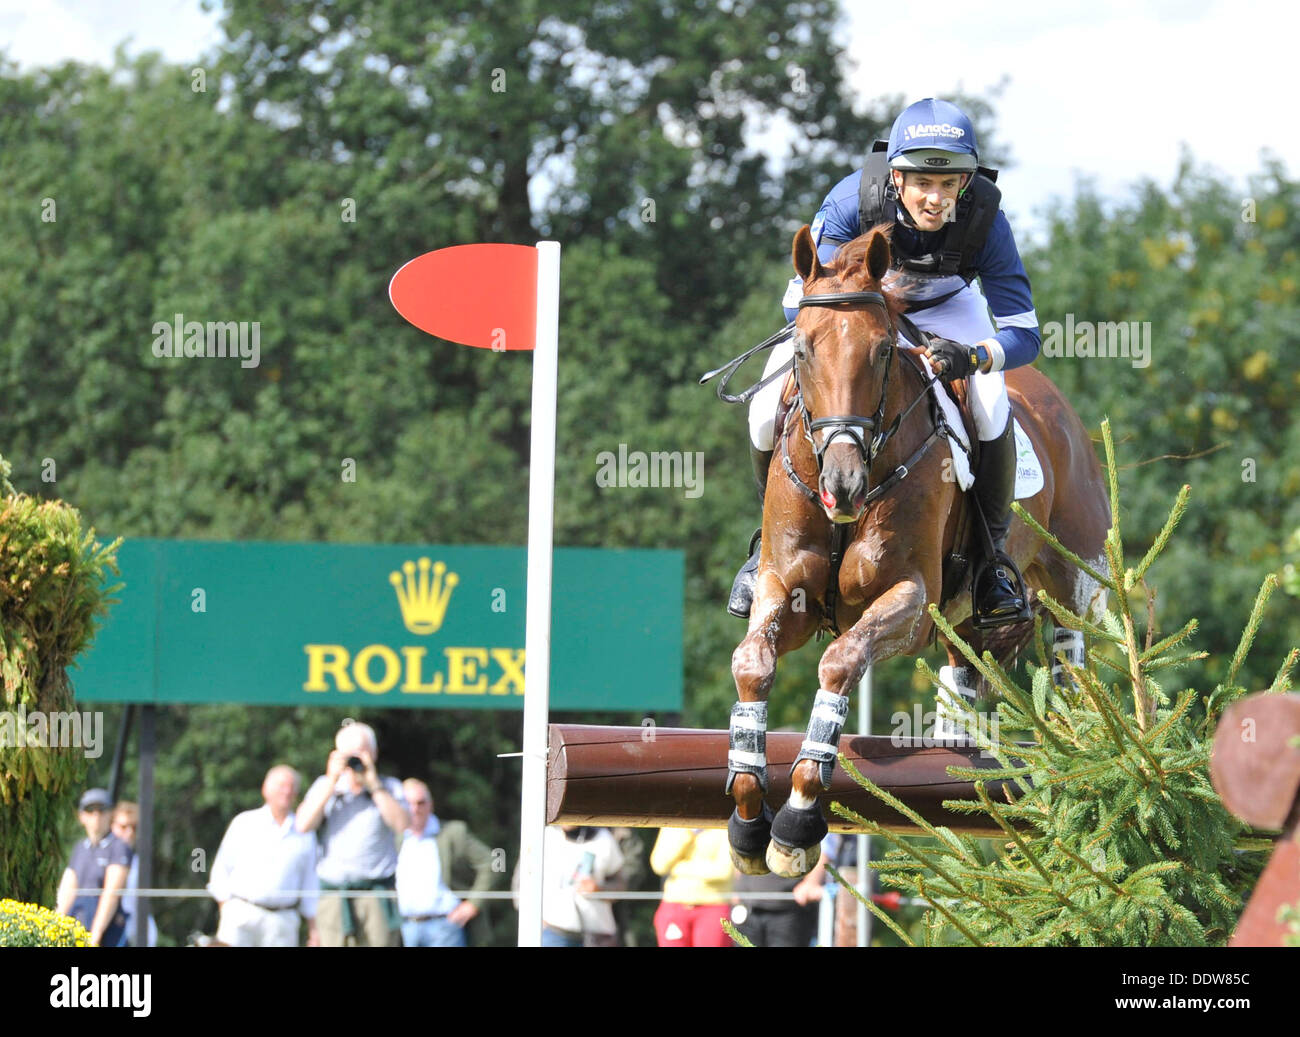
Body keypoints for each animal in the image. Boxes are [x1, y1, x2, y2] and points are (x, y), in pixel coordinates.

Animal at [722, 224, 1107, 878]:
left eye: (882, 352)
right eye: (802, 350)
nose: (843, 485)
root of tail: (1062, 412)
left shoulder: (909, 600)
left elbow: (841, 661)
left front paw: (797, 822)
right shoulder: (786, 589)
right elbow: (753, 663)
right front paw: (749, 822)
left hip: (1070, 576)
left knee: (1069, 653)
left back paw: (1093, 753)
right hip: (968, 619)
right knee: (970, 668)